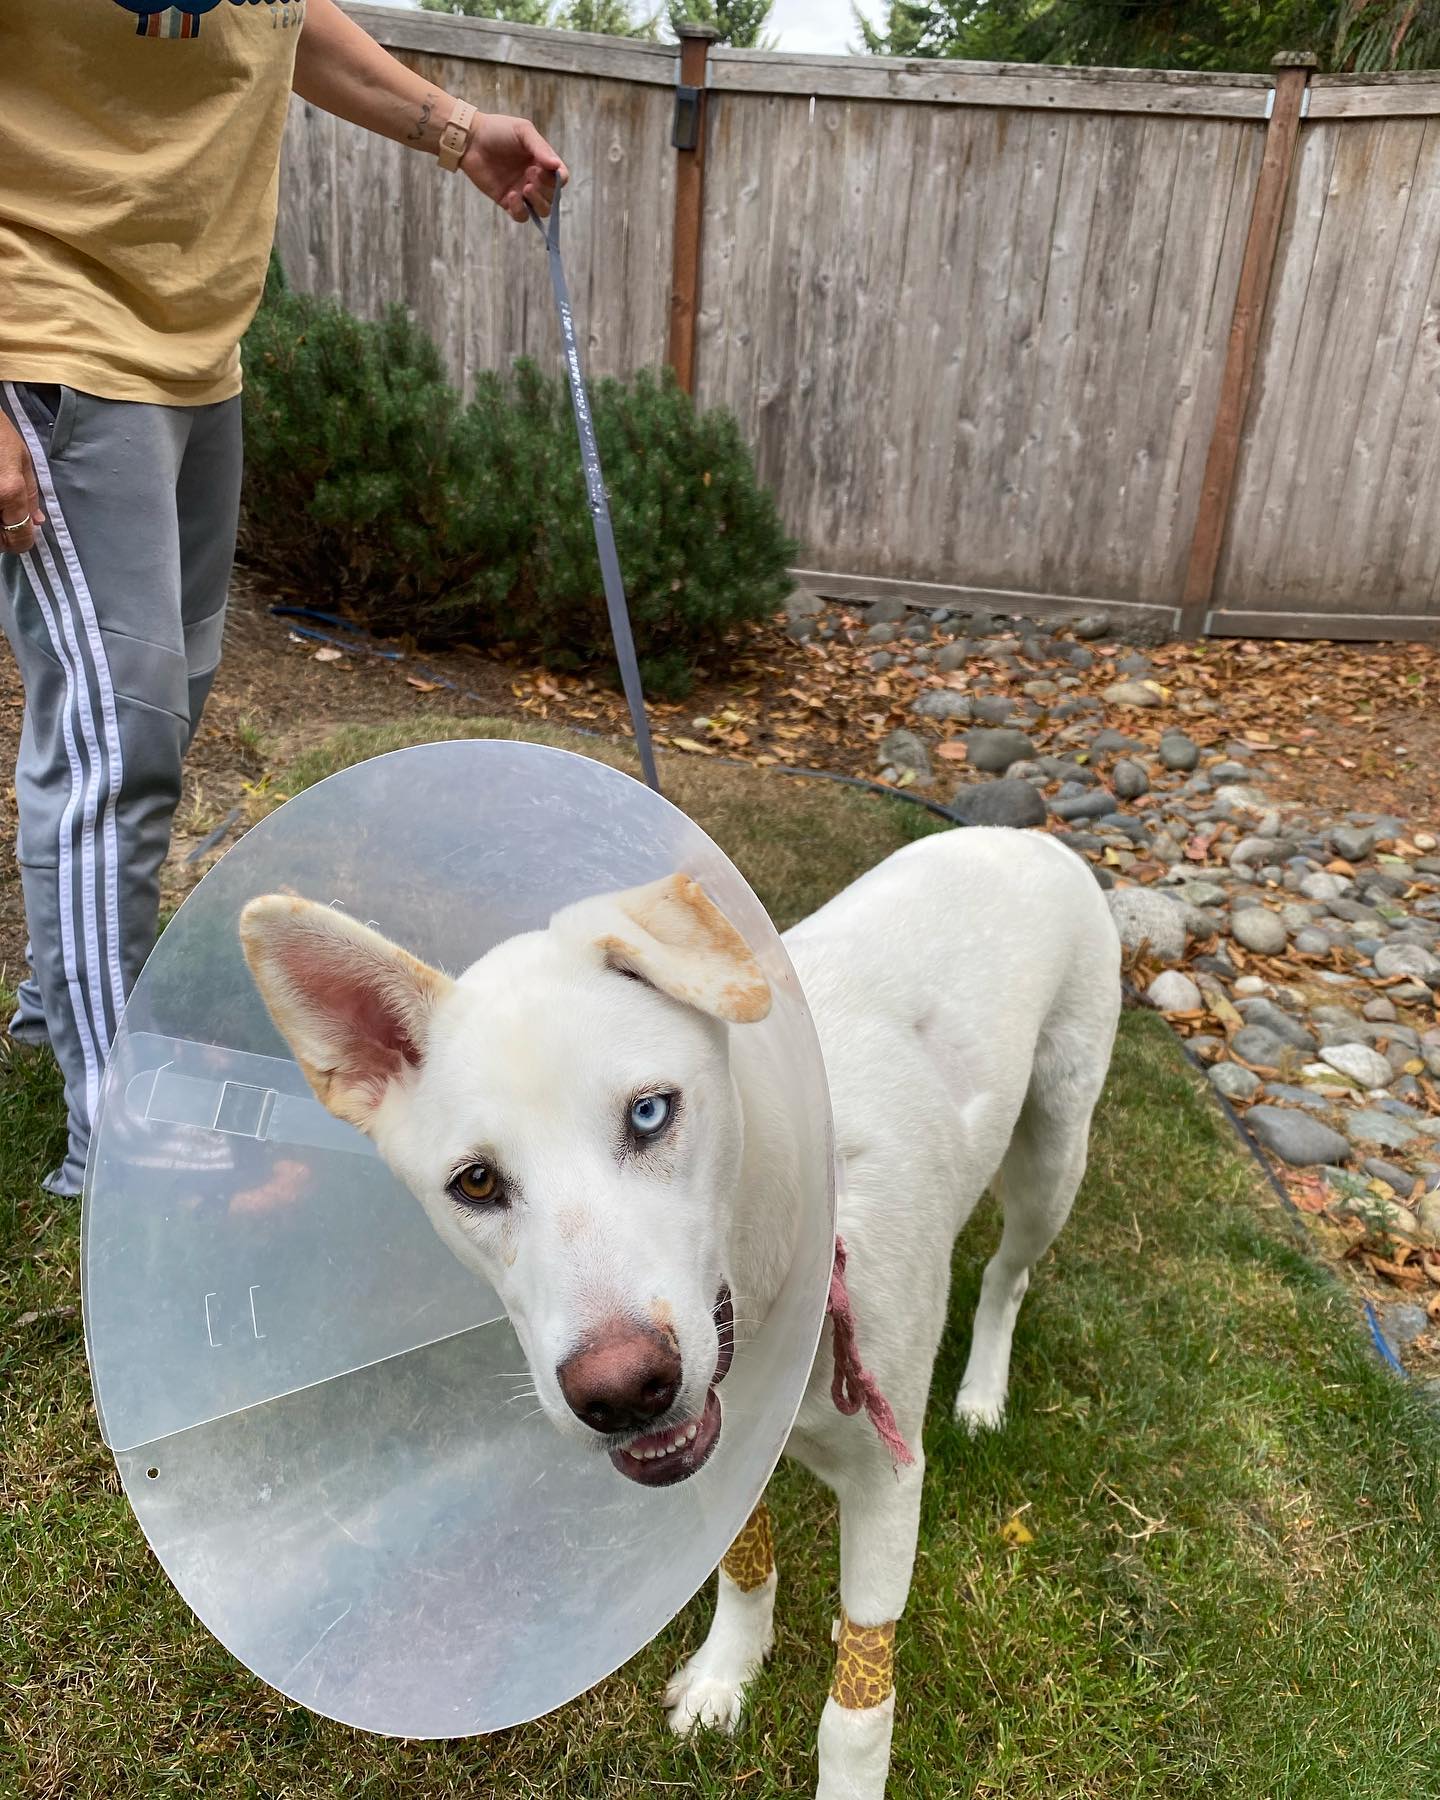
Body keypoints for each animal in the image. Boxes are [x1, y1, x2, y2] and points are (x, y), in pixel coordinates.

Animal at [241, 824, 1116, 1792]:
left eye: (652, 1113)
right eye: (474, 1182)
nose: (622, 1393)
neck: (779, 1275)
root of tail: (1021, 833)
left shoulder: (889, 1481)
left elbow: (857, 1706)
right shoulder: (726, 1454)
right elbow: (743, 1564)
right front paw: (728, 1671)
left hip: (1052, 1155)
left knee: (1009, 1273)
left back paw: (984, 1392)